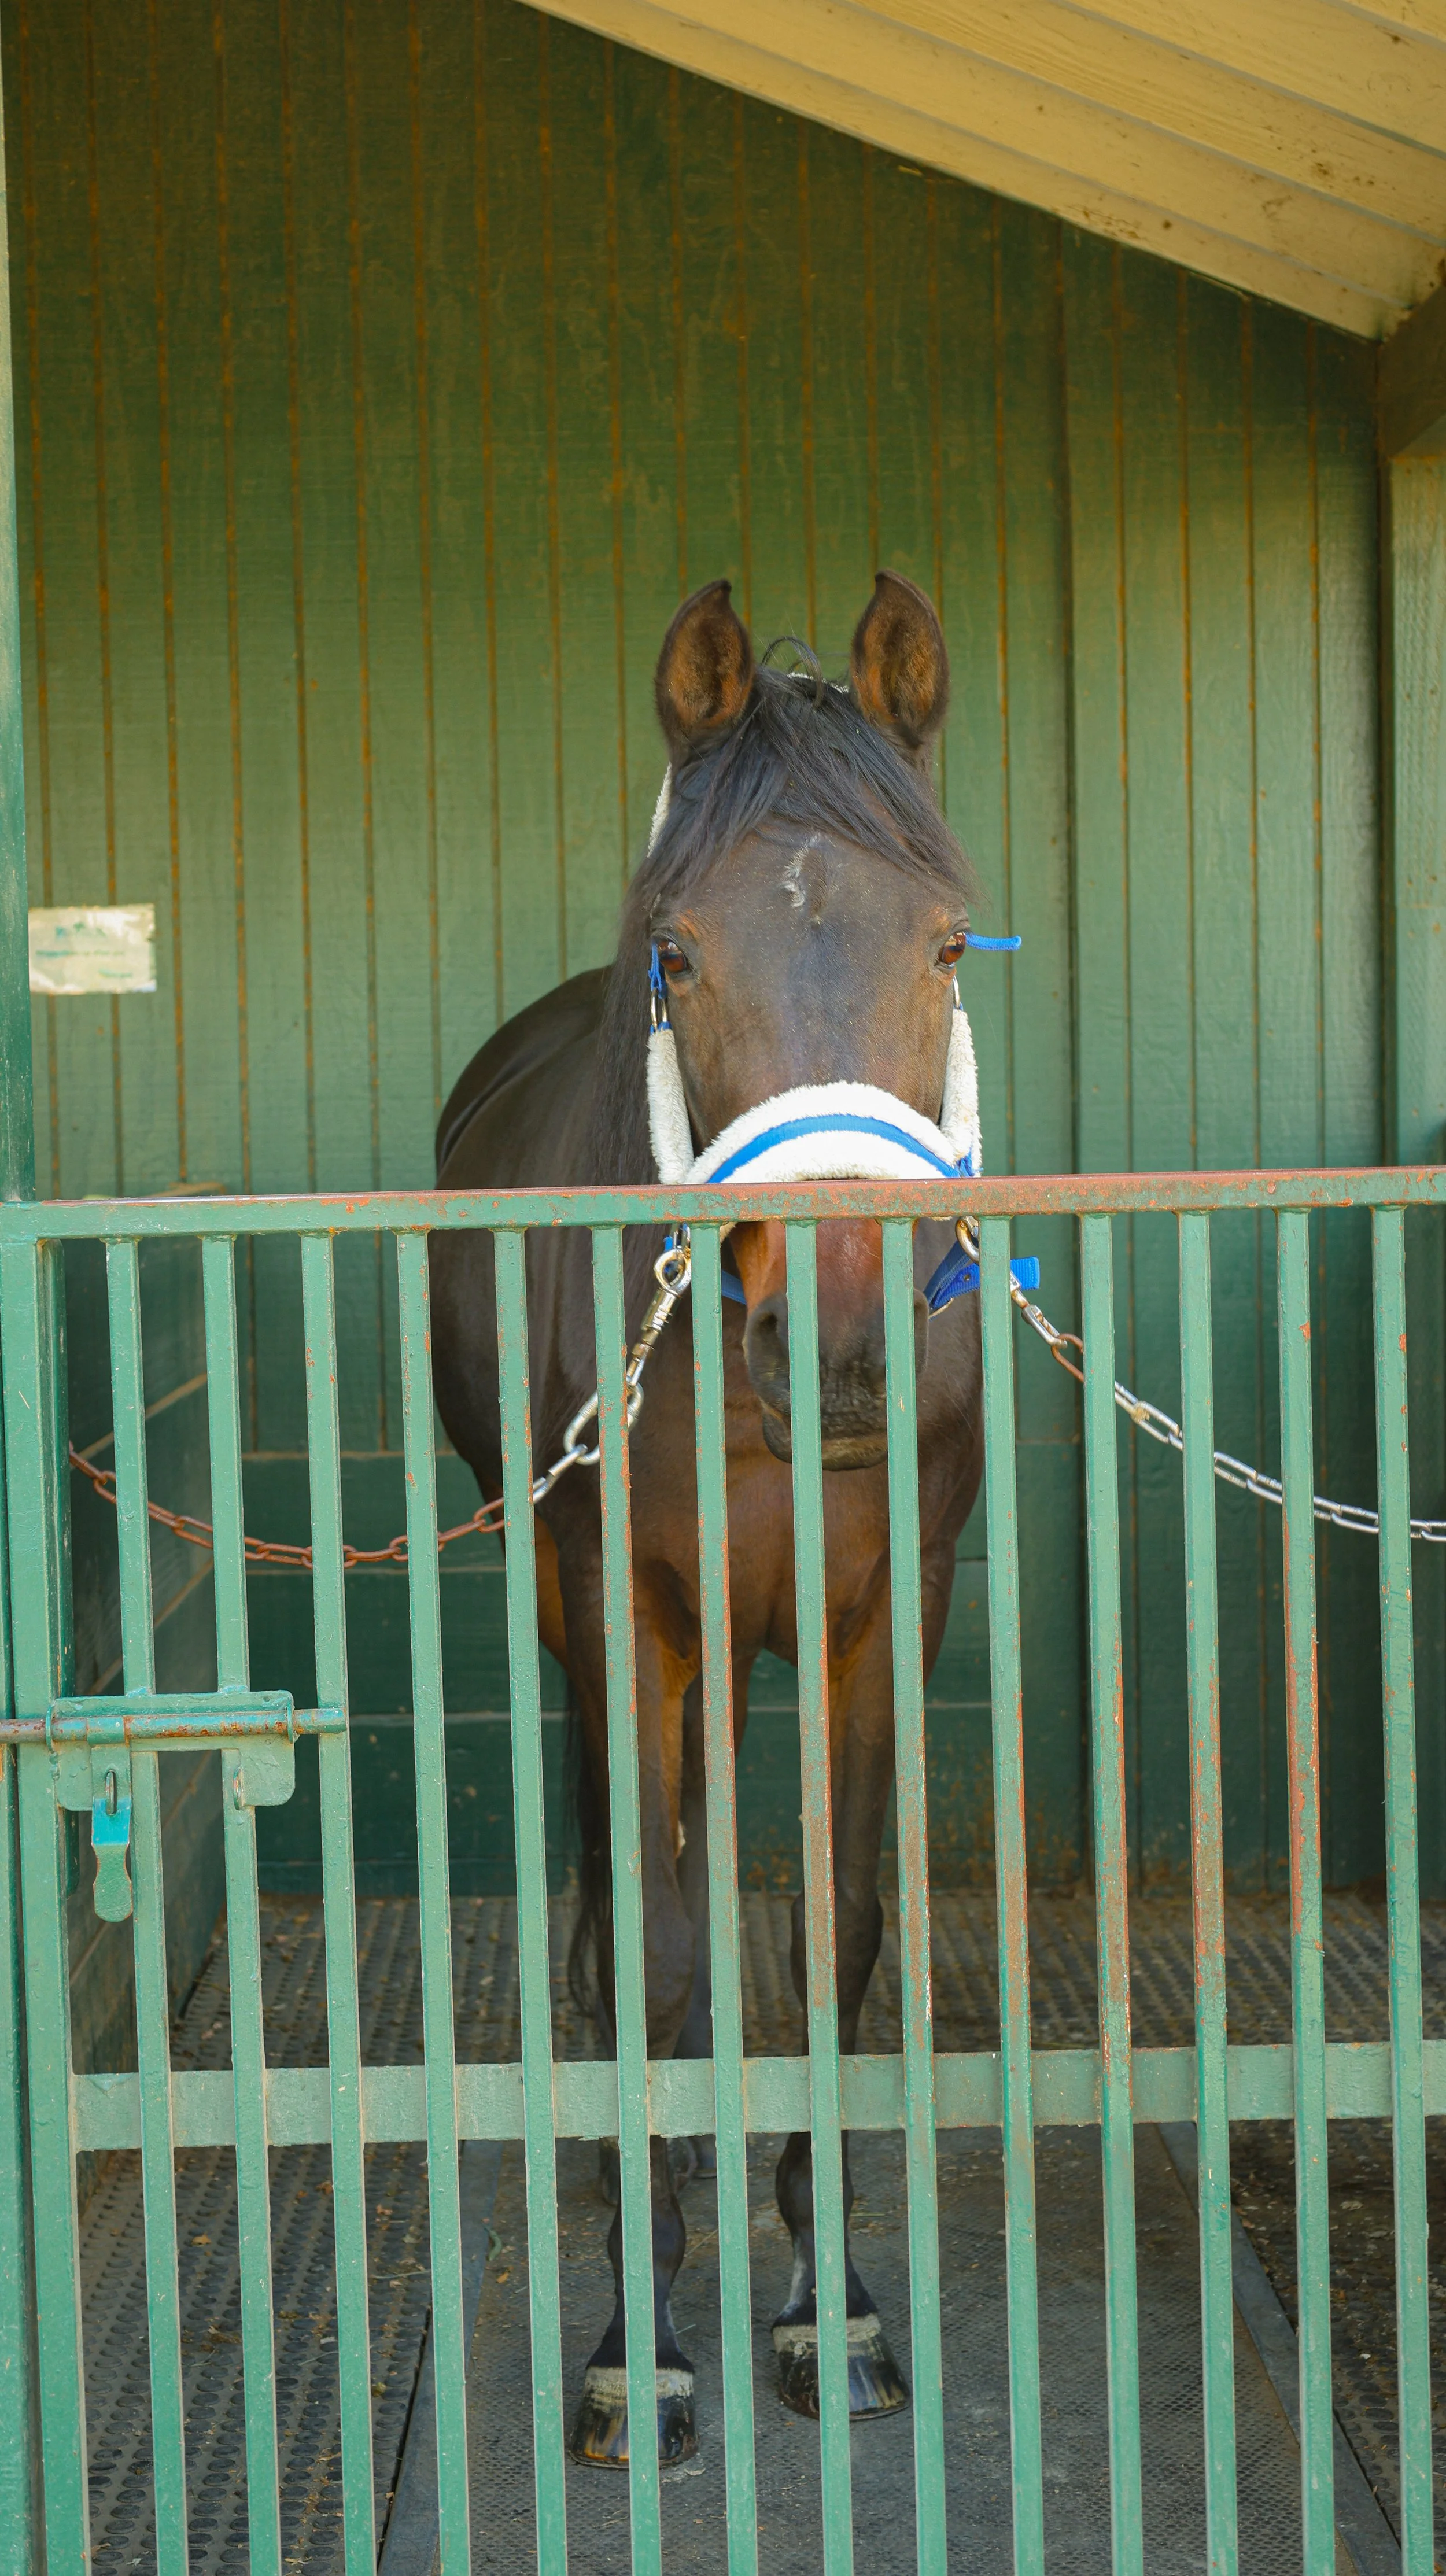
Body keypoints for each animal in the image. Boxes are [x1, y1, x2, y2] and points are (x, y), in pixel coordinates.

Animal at [429, 570, 986, 2470]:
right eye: (678, 954)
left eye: (947, 943)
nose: (833, 1339)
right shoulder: (625, 1602)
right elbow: (668, 1952)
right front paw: (641, 2342)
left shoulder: (879, 1604)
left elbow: (833, 1933)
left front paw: (834, 2310)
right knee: (624, 1882)